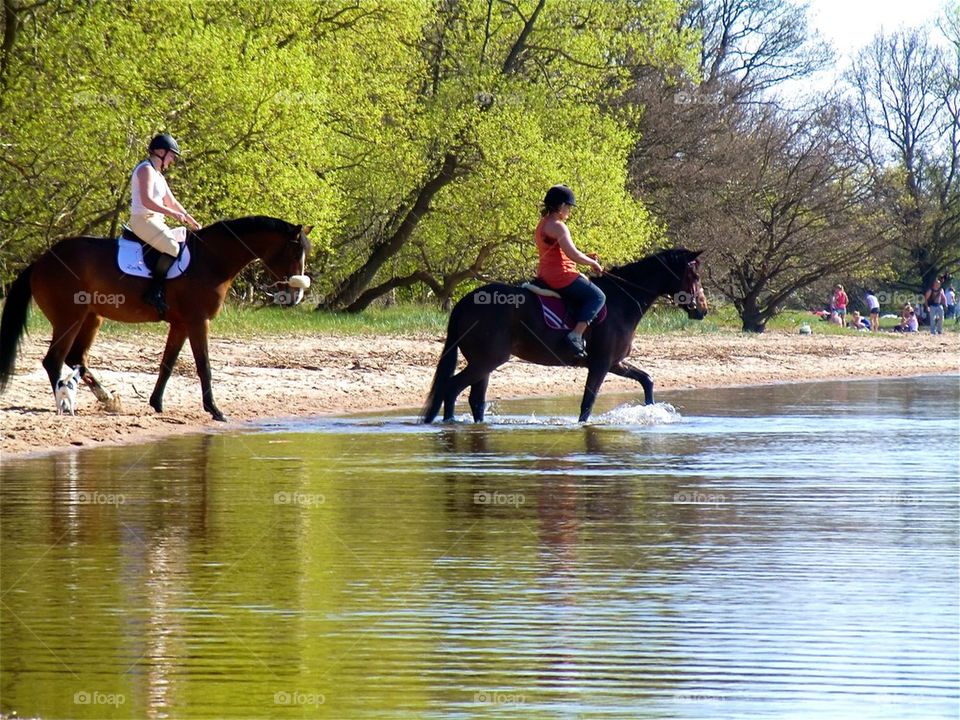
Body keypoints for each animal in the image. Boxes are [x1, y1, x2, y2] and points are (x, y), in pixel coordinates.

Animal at [0, 214, 312, 420]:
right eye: (294, 250)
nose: (295, 296)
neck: (211, 259)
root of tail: (42, 260)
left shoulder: (181, 324)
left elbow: (167, 364)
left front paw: (157, 403)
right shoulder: (198, 322)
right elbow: (204, 366)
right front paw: (215, 410)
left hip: (91, 318)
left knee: (76, 357)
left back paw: (107, 399)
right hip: (69, 318)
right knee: (53, 359)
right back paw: (65, 404)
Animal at [424, 249, 708, 424]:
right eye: (694, 275)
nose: (702, 310)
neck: (623, 300)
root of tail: (465, 302)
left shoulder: (614, 363)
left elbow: (647, 380)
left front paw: (650, 412)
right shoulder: (601, 364)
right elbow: (587, 404)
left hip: (484, 363)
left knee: (474, 399)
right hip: (486, 361)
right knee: (451, 389)